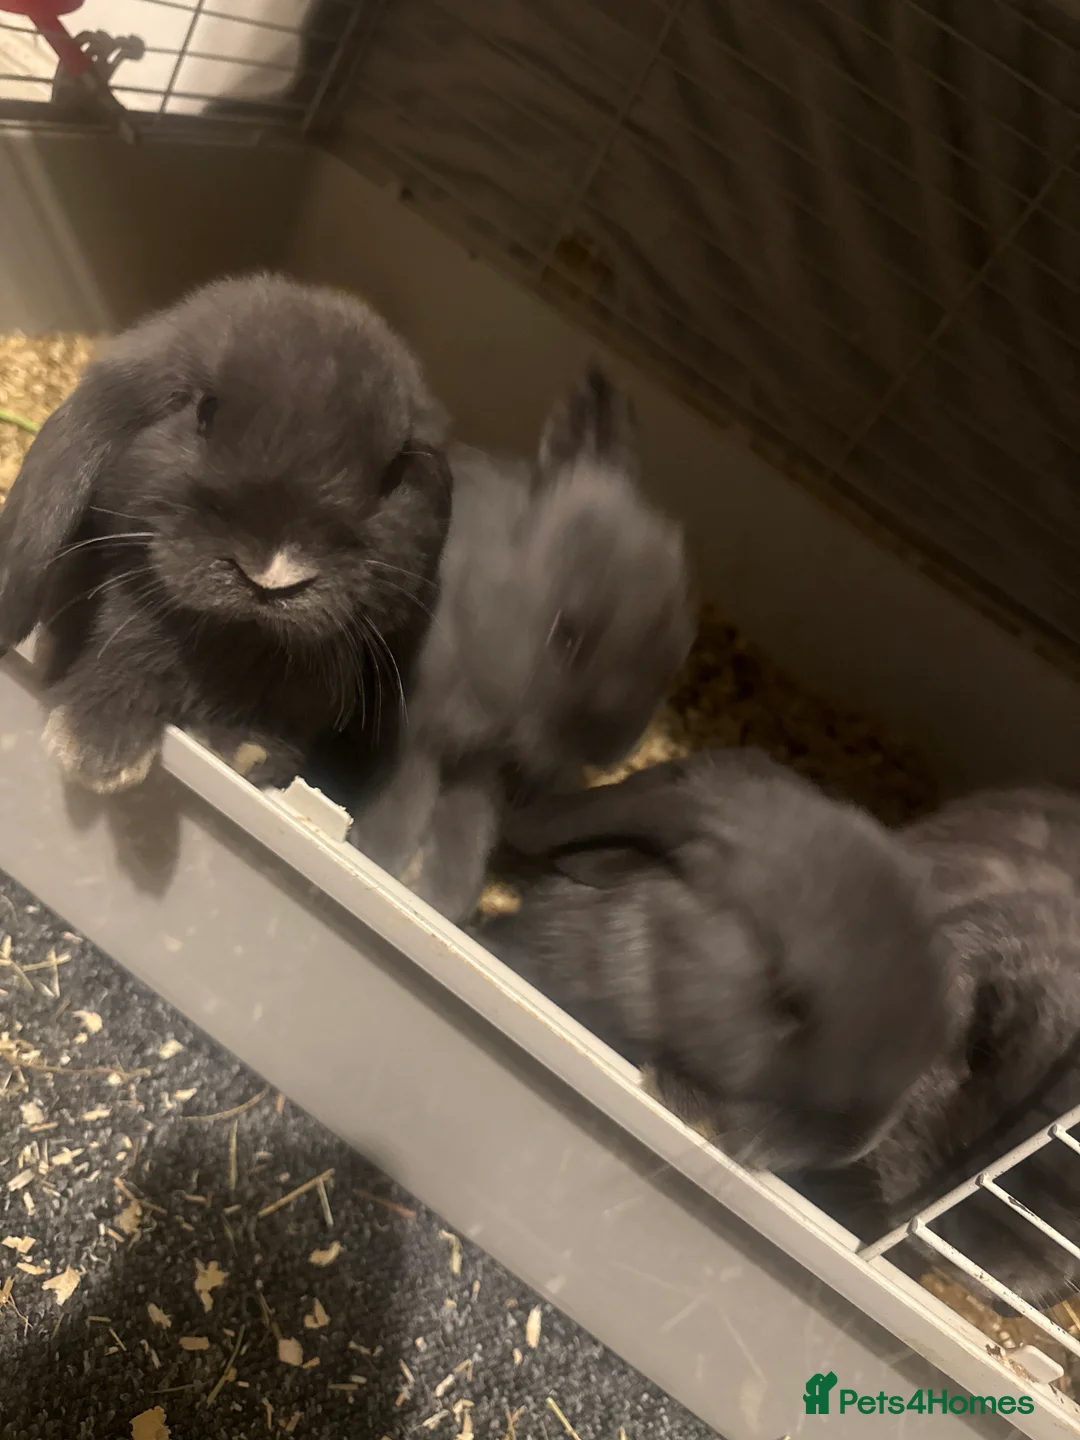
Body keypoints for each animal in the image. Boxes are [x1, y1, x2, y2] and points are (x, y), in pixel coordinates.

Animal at [0, 271, 452, 795]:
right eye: (205, 410)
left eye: (393, 473)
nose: (273, 575)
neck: (233, 637)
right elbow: (134, 643)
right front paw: (97, 750)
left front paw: (251, 752)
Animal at [348, 365, 693, 924]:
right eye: (566, 635)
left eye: (680, 644)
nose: (614, 750)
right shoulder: (419, 733)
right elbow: (406, 800)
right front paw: (383, 859)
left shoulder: (481, 765)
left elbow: (466, 830)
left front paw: (440, 898)